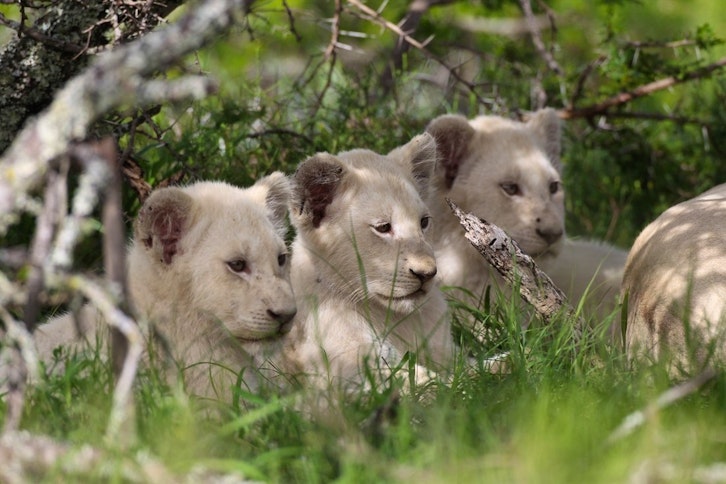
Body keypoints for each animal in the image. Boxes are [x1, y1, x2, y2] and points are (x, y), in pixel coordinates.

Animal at [279, 133, 455, 391]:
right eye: (383, 228)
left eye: (423, 222)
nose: (426, 274)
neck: (396, 318)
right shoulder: (350, 374)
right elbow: (437, 383)